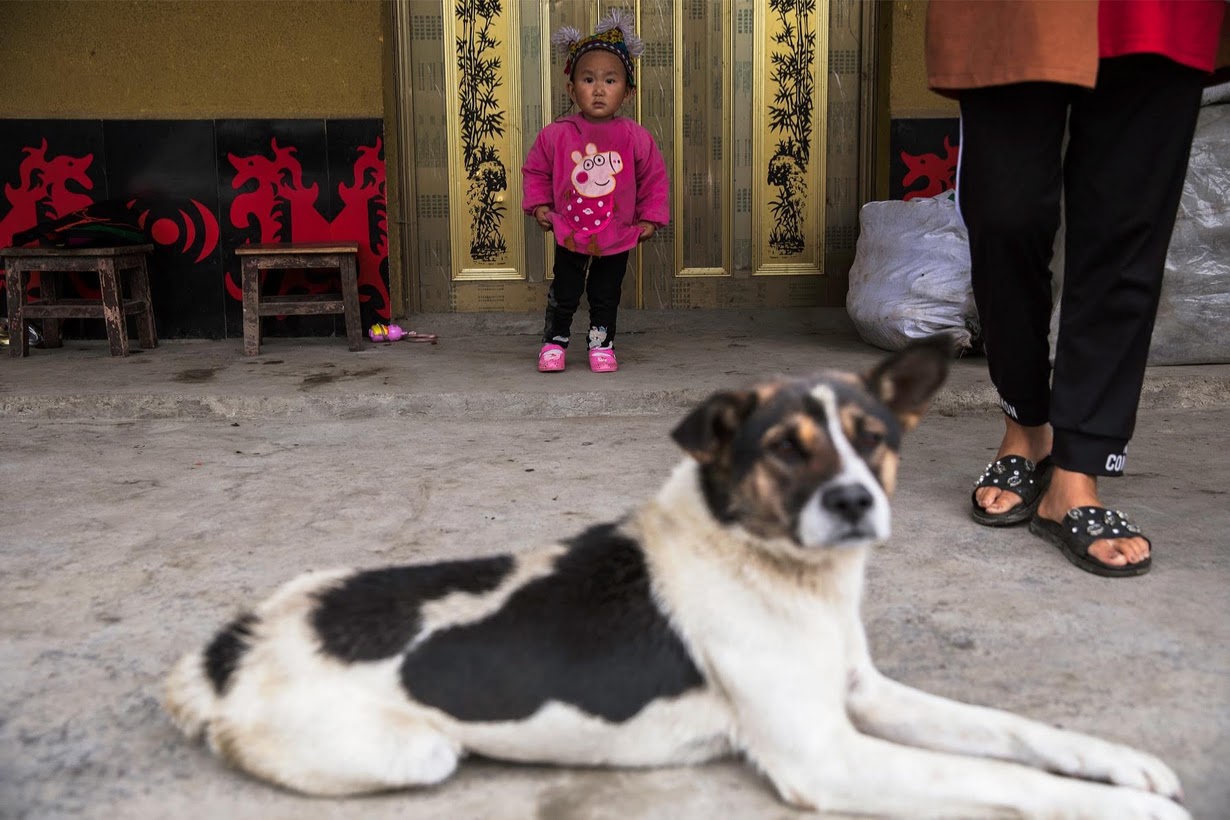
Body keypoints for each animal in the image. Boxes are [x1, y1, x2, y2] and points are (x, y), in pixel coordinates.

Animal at [168, 336, 1185, 816]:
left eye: (872, 440)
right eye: (785, 448)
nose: (856, 502)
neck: (775, 568)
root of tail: (223, 653)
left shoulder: (862, 695)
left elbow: (1013, 734)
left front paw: (1125, 764)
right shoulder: (827, 755)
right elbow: (1008, 784)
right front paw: (1124, 810)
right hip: (415, 753)